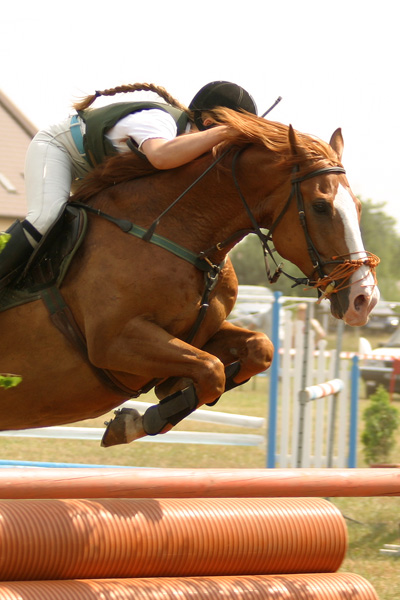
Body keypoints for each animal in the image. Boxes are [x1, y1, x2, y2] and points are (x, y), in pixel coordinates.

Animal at [0, 109, 380, 446]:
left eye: (359, 207)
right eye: (320, 206)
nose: (364, 299)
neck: (177, 233)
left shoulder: (202, 331)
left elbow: (259, 349)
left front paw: (159, 399)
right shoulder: (114, 341)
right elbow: (211, 370)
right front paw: (142, 419)